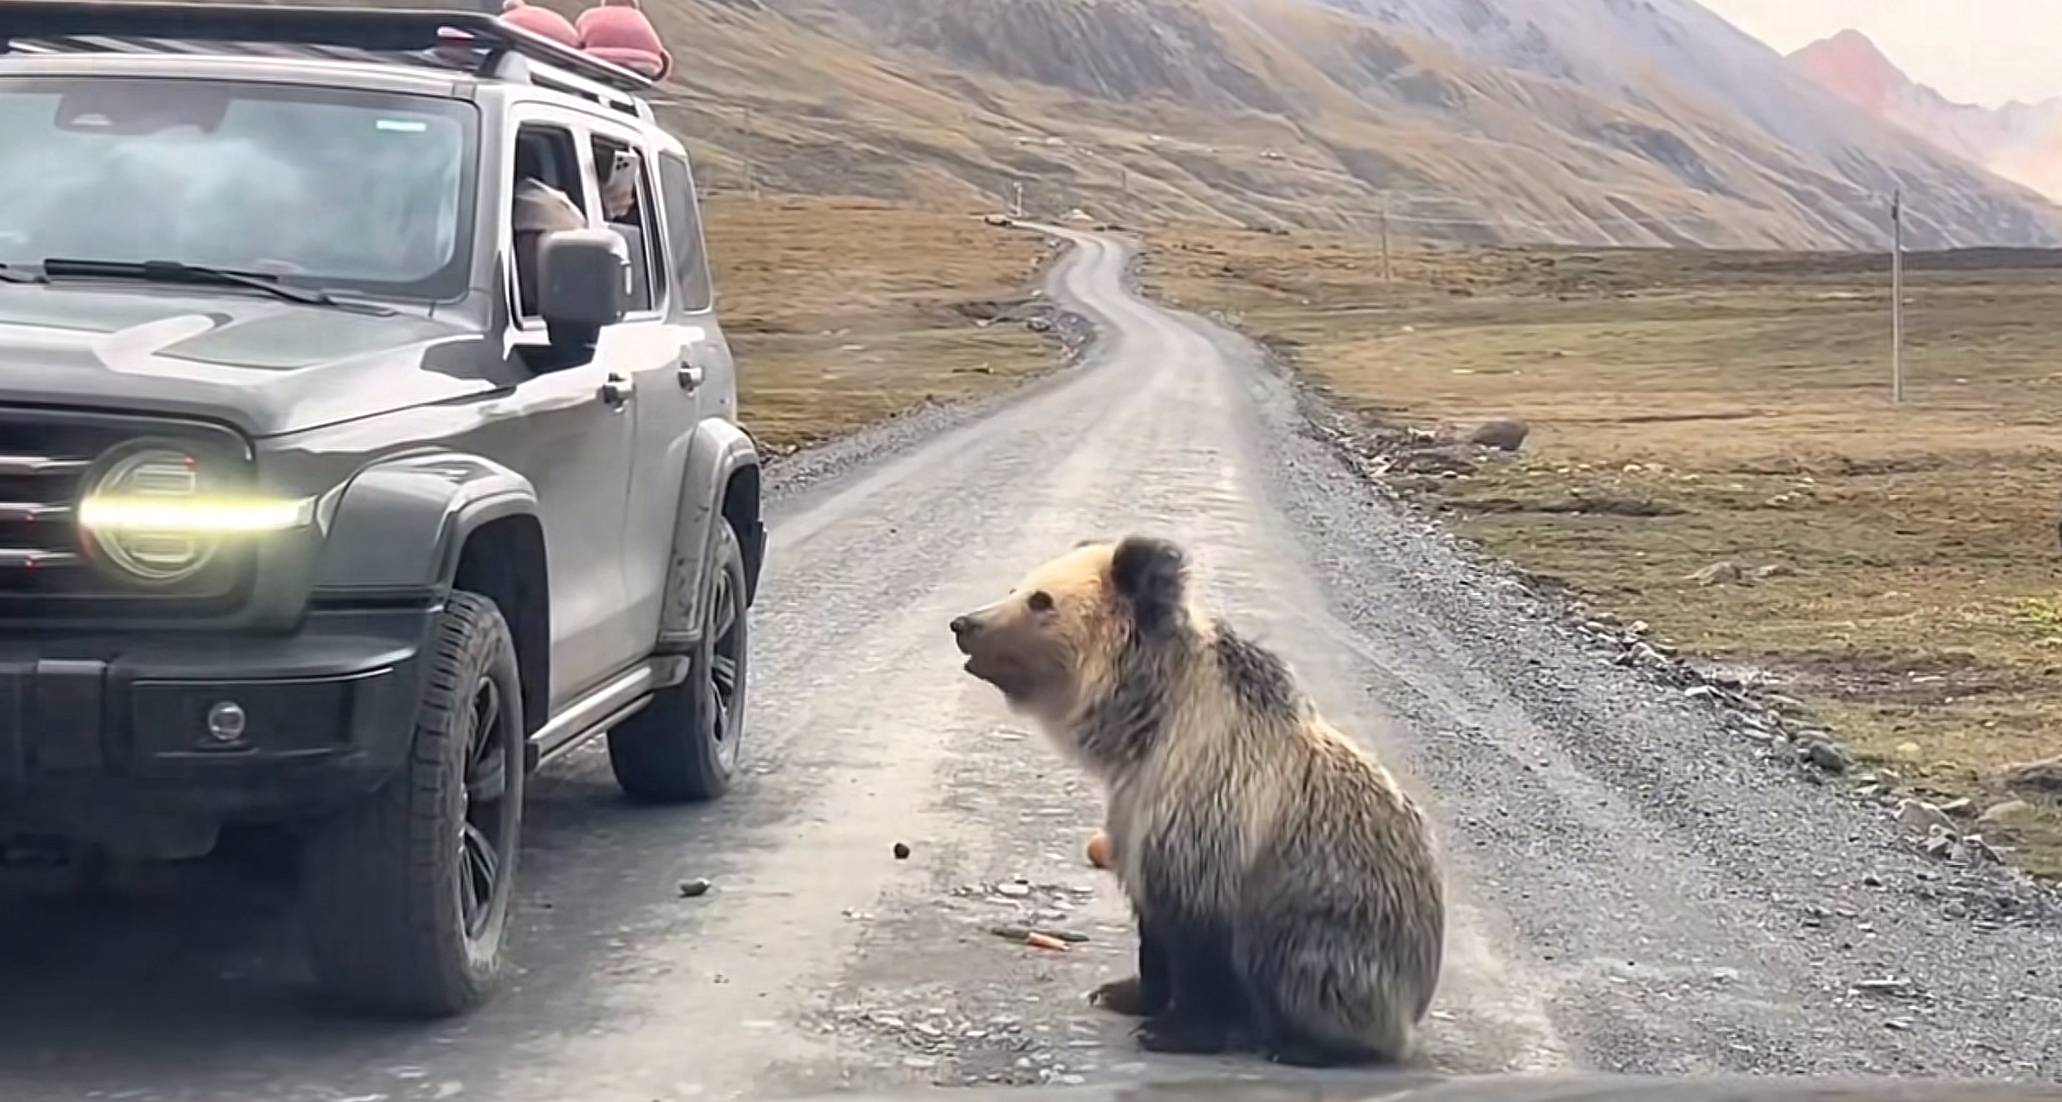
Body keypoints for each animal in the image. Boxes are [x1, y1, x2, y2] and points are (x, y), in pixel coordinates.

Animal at [952, 536, 1451, 1073]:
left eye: (1041, 600)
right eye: (1017, 587)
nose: (965, 625)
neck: (1149, 725)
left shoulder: (1211, 818)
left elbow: (1200, 943)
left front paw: (1176, 1030)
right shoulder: (1134, 815)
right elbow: (1152, 927)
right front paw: (1125, 993)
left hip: (1341, 936)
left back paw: (1304, 1043)